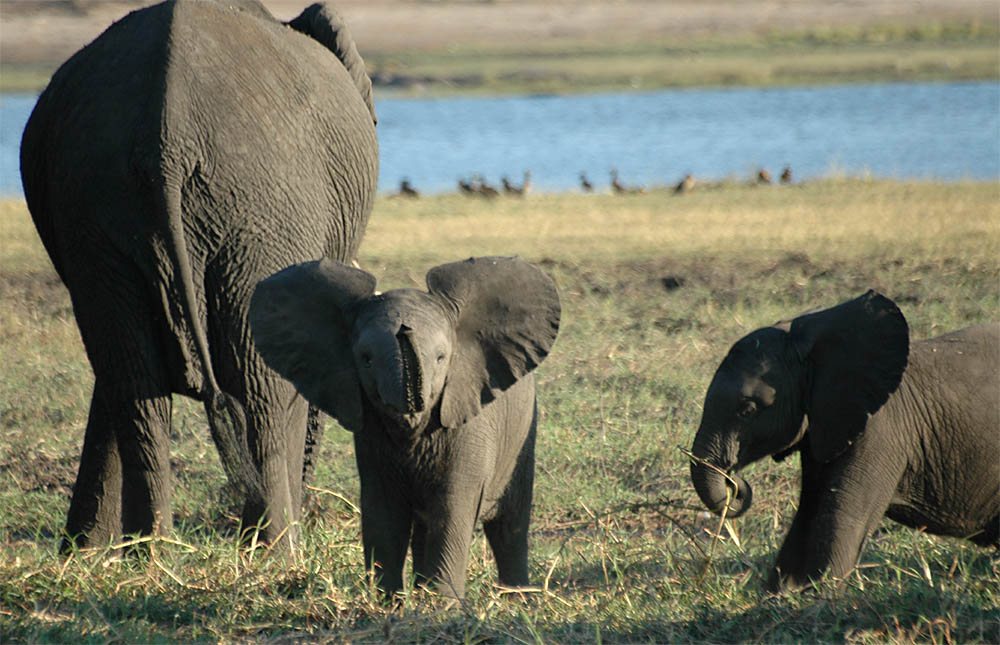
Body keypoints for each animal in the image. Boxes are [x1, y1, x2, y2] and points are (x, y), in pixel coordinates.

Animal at [19, 0, 378, 552]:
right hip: (267, 213)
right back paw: (276, 550)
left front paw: (83, 551)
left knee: (133, 381)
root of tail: (166, 142)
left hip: (94, 208)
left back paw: (150, 552)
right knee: (261, 388)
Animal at [248, 254, 564, 596]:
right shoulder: (371, 433)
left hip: (523, 432)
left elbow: (452, 508)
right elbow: (383, 515)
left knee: (509, 527)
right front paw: (387, 602)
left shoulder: (467, 419)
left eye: (441, 358)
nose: (403, 328)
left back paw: (518, 598)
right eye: (366, 359)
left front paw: (441, 604)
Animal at [688, 292, 1000, 592]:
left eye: (748, 409)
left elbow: (842, 518)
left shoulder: (880, 430)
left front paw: (817, 597)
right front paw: (780, 596)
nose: (735, 484)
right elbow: (808, 513)